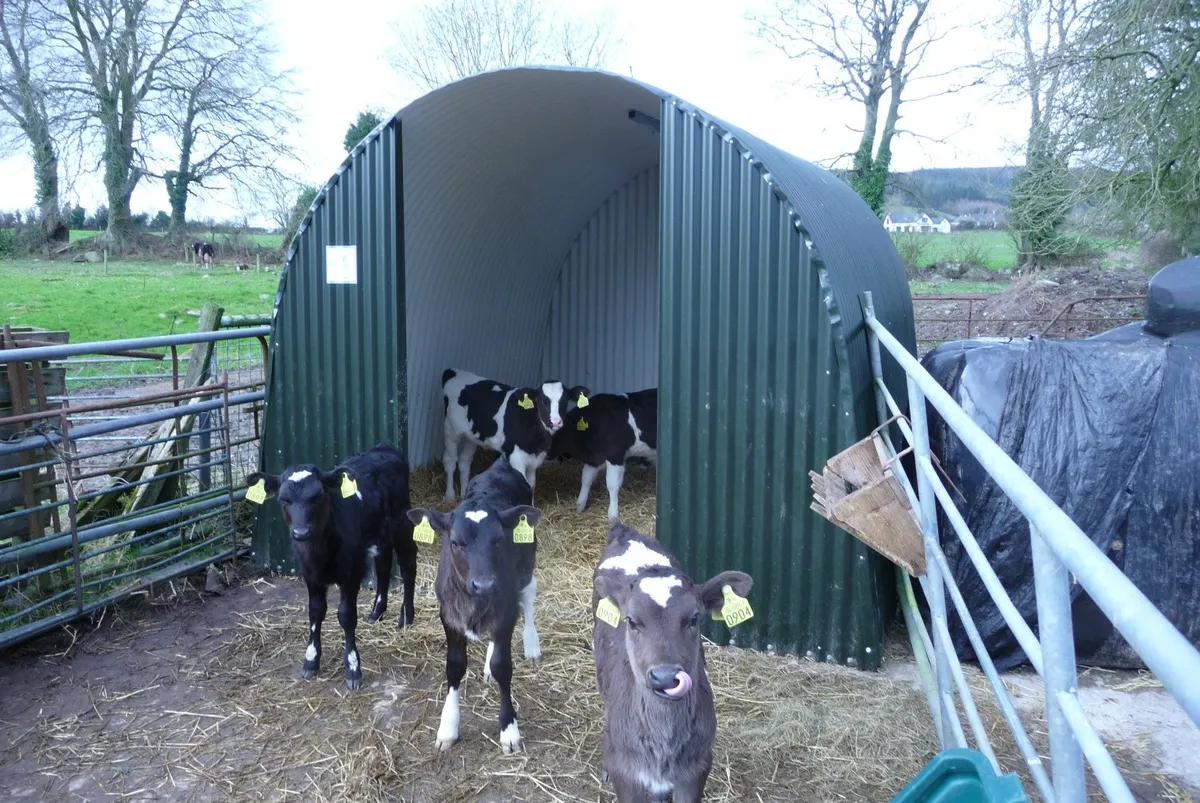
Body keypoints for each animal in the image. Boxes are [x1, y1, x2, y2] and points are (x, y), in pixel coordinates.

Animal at [410, 453, 547, 753]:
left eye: (498, 540)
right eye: (455, 542)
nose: (484, 585)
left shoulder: (507, 611)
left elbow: (502, 666)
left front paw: (509, 730)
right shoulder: (449, 616)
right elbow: (455, 666)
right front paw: (448, 727)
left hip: (527, 559)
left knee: (529, 592)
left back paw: (531, 644)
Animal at [441, 369, 590, 501]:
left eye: (564, 401)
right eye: (542, 400)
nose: (555, 421)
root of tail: (453, 371)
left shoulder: (534, 458)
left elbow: (531, 485)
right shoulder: (515, 455)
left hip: (470, 437)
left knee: (464, 463)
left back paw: (464, 495)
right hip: (450, 431)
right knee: (450, 462)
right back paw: (450, 496)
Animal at [552, 388, 657, 520]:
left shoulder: (615, 456)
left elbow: (612, 484)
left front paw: (612, 514)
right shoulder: (595, 459)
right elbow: (586, 479)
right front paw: (580, 506)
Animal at [590, 523, 748, 796]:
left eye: (694, 618)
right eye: (631, 621)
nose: (664, 677)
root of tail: (626, 532)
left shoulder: (697, 767)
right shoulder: (626, 772)